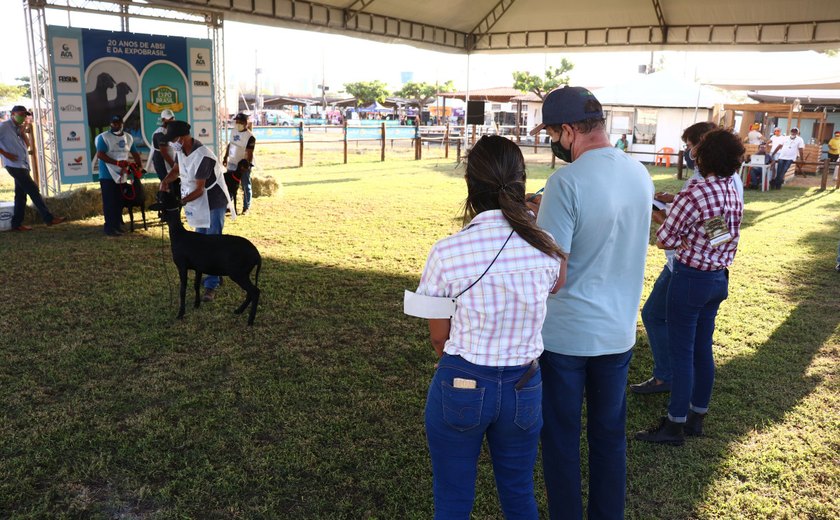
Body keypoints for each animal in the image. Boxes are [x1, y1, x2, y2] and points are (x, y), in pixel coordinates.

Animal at [148, 191, 260, 324]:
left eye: (164, 197)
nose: (158, 192)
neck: (179, 235)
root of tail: (257, 254)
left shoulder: (182, 266)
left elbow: (183, 289)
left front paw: (181, 313)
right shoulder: (198, 268)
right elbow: (196, 285)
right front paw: (196, 304)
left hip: (238, 273)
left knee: (255, 291)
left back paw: (250, 321)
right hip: (244, 273)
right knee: (250, 292)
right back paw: (239, 311)